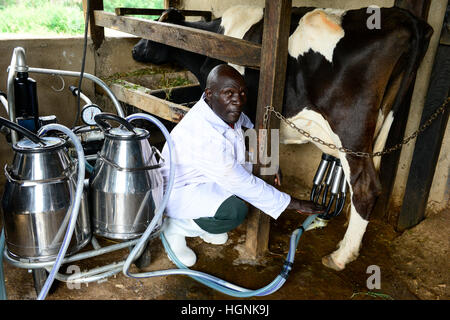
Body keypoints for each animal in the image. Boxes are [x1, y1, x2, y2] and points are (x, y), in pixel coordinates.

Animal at [133, 5, 432, 270]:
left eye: (156, 27)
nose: (135, 49)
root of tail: (405, 18)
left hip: (351, 127)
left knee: (365, 185)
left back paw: (341, 256)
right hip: (383, 120)